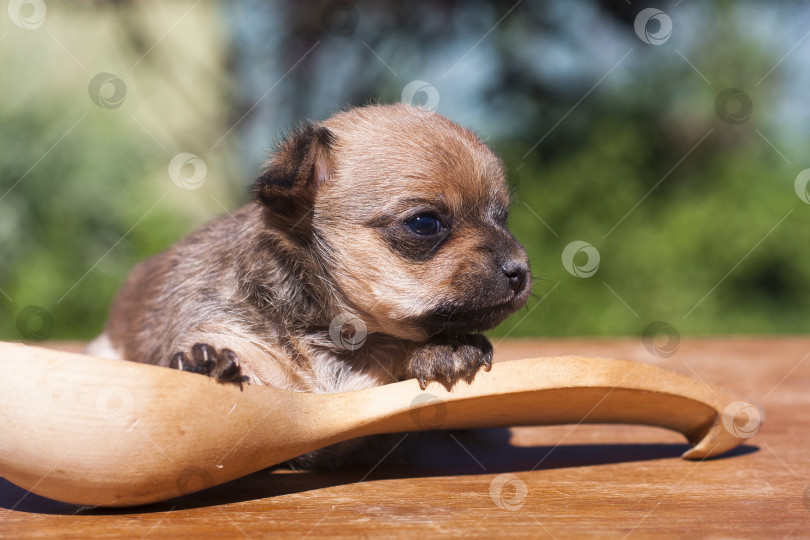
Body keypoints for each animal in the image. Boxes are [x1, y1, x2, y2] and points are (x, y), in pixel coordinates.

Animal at [88, 103, 532, 462]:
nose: (520, 270)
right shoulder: (232, 336)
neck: (339, 337)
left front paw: (449, 347)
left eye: (502, 218)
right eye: (425, 223)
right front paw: (203, 367)